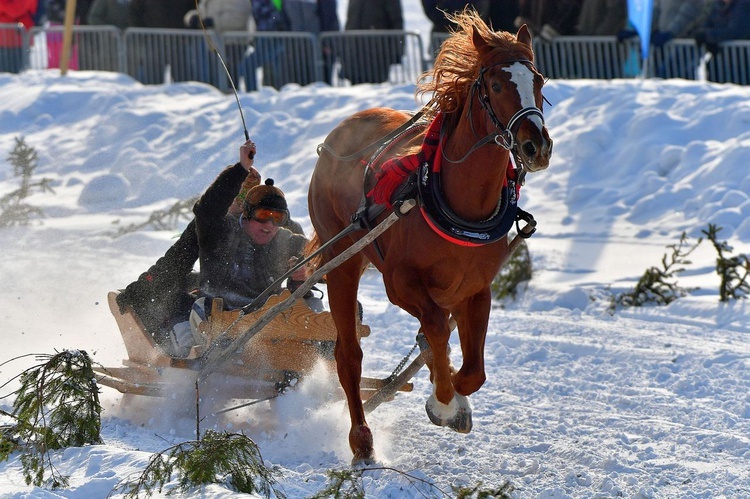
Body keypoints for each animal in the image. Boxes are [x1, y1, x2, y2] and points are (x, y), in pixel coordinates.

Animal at [308, 12, 556, 464]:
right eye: (496, 85)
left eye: (539, 80)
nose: (537, 146)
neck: (462, 204)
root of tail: (339, 133)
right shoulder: (401, 283)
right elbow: (439, 328)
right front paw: (444, 402)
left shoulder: (475, 289)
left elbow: (474, 370)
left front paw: (455, 391)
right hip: (343, 258)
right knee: (348, 355)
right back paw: (361, 439)